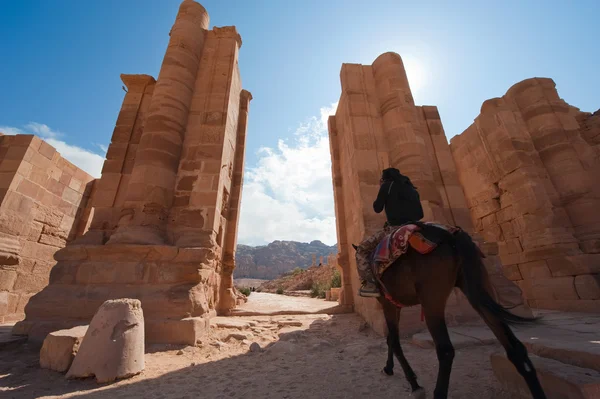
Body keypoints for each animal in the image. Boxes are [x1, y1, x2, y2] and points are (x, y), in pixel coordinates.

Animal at [350, 225, 548, 399]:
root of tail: (452, 235)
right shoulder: (395, 306)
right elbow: (390, 339)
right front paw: (388, 368)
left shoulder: (388, 305)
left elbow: (395, 342)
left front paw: (414, 384)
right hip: (478, 290)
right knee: (515, 349)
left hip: (432, 301)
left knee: (445, 351)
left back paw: (438, 392)